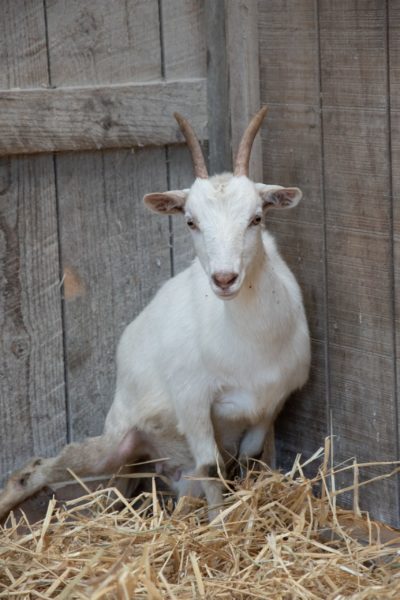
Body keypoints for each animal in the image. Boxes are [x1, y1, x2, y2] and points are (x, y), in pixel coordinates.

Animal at [0, 108, 310, 520]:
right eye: (191, 221)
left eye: (256, 218)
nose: (224, 278)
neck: (251, 344)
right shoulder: (192, 400)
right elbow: (212, 466)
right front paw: (220, 525)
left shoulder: (269, 405)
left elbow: (247, 459)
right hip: (114, 444)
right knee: (35, 470)